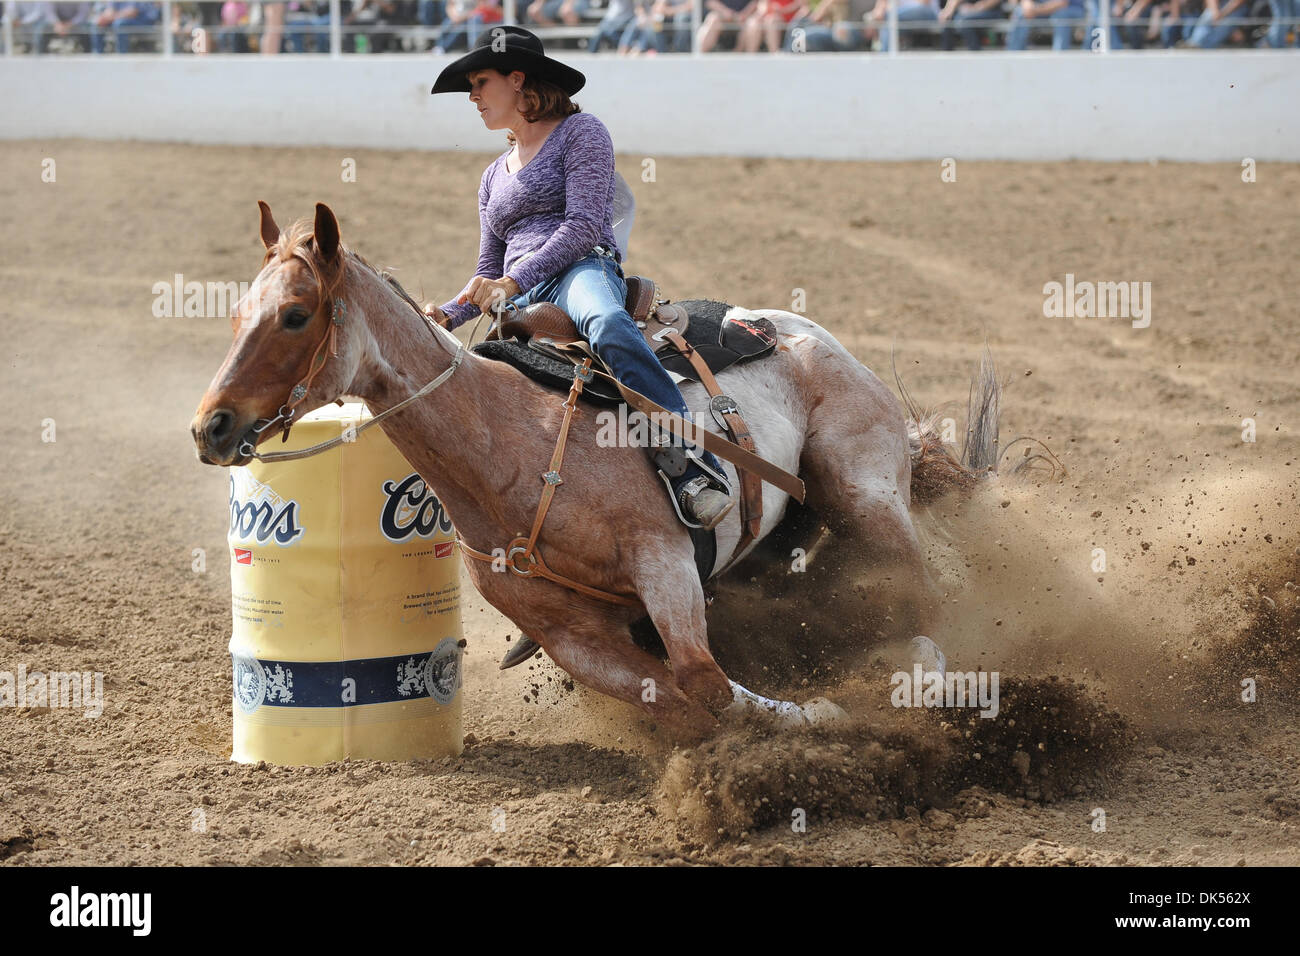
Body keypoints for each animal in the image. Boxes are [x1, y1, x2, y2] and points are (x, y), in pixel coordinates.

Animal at [189, 204, 993, 738]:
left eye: (296, 314)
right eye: (236, 315)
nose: (211, 426)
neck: (507, 451)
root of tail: (804, 333)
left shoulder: (661, 554)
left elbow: (703, 681)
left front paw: (825, 712)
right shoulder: (571, 636)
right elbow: (677, 694)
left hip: (862, 491)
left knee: (920, 595)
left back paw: (923, 681)